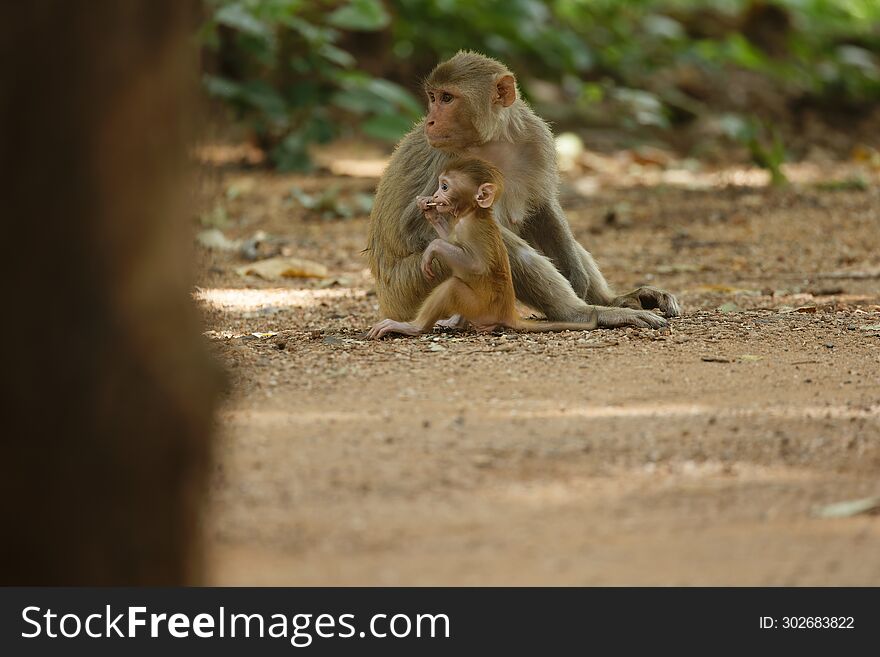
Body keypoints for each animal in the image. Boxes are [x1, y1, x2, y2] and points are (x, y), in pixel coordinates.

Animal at [364, 155, 600, 338]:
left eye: (445, 186)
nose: (436, 196)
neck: (473, 212)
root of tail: (508, 313)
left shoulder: (472, 229)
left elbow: (476, 265)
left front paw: (433, 247)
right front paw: (431, 214)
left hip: (480, 307)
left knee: (453, 287)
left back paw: (414, 327)